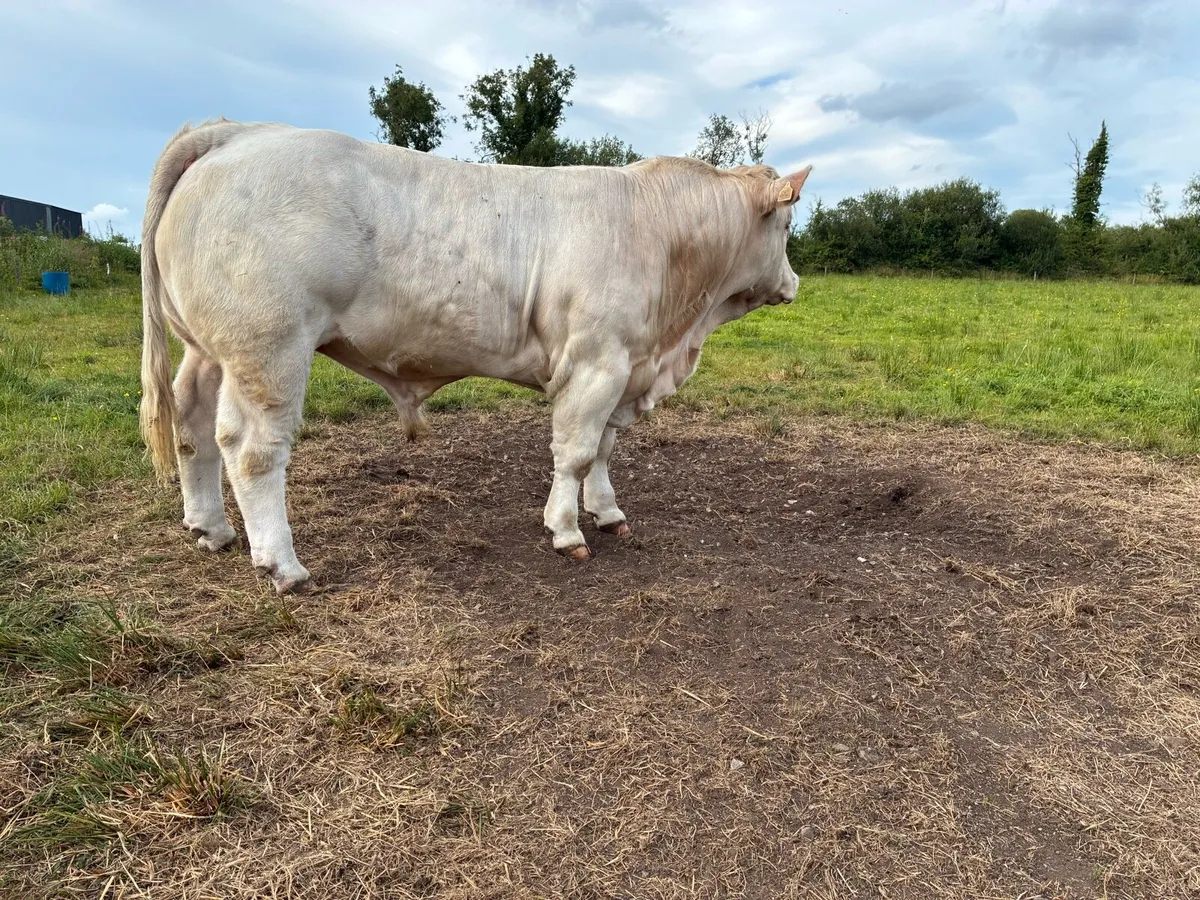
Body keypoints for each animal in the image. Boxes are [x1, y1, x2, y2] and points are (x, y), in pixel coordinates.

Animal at [139, 118, 812, 593]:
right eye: (785, 228)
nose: (795, 283)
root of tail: (238, 131)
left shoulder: (626, 365)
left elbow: (603, 449)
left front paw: (607, 511)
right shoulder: (596, 362)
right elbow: (575, 451)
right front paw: (567, 530)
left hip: (208, 348)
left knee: (192, 423)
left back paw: (211, 528)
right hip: (269, 347)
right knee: (250, 449)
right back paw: (282, 564)